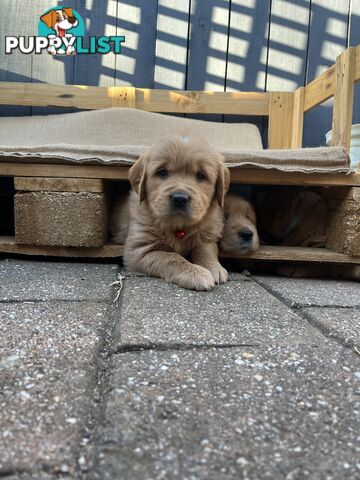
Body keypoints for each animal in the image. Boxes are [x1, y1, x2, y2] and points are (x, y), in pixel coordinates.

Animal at [109, 133, 231, 290]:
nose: (180, 199)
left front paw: (213, 267)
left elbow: (205, 249)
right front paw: (196, 273)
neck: (178, 226)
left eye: (201, 175)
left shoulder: (206, 235)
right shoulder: (138, 251)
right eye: (162, 172)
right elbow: (171, 257)